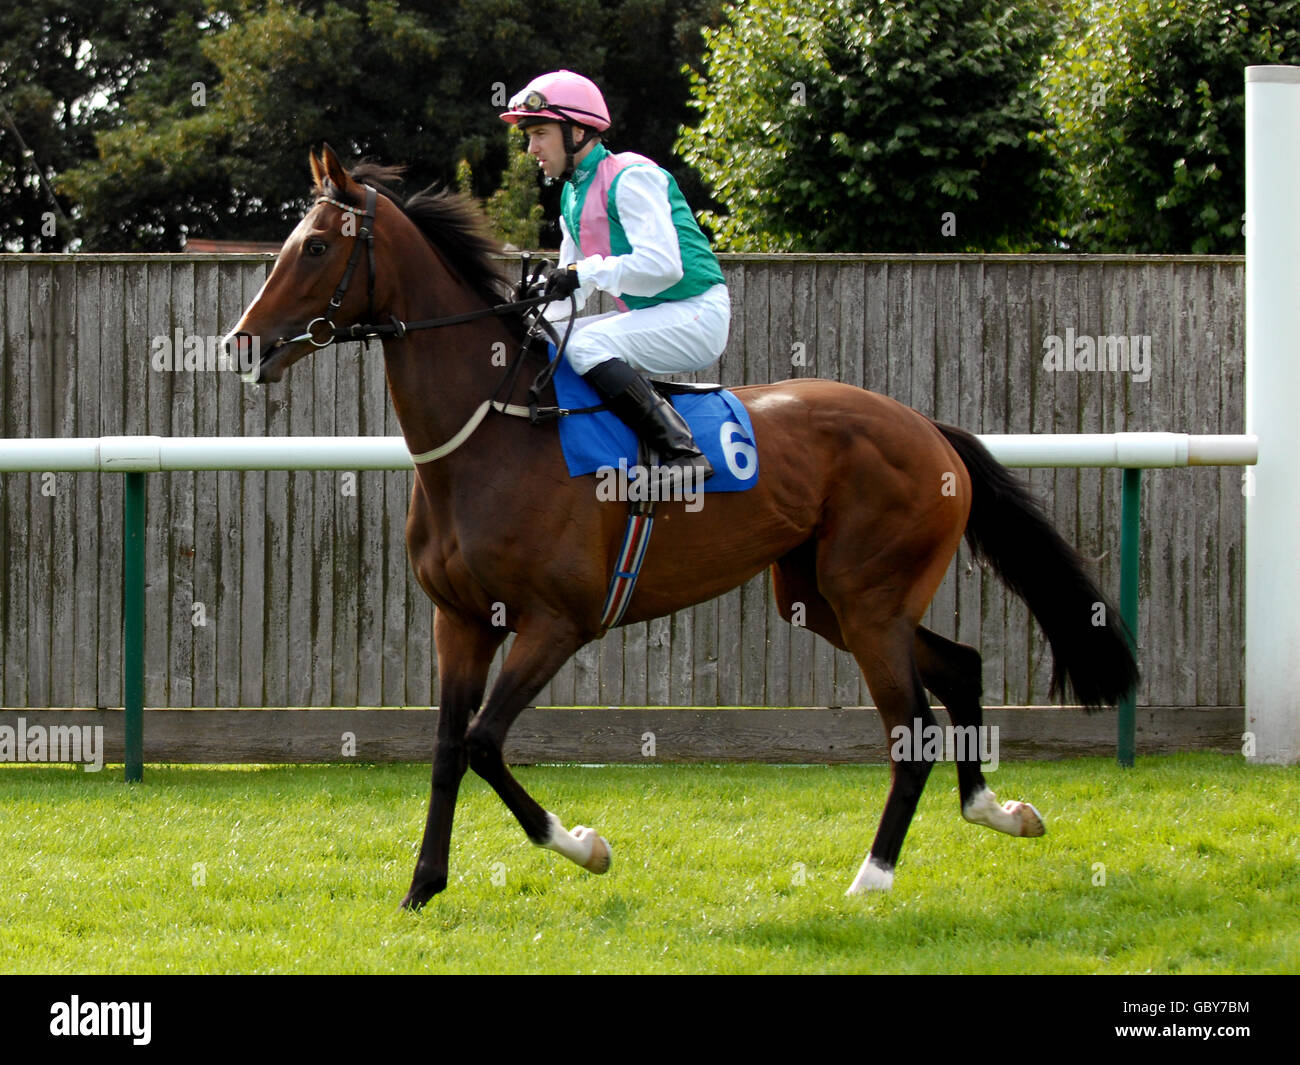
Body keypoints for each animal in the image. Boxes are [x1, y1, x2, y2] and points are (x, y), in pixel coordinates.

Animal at [223, 141, 1138, 910]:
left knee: (911, 723)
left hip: (869, 597)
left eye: (315, 247)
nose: (240, 344)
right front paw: (422, 887)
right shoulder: (463, 621)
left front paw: (585, 844)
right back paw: (997, 809)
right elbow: (449, 750)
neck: (495, 427)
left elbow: (485, 743)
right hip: (823, 596)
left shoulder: (559, 622)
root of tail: (928, 428)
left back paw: (873, 877)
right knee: (960, 666)